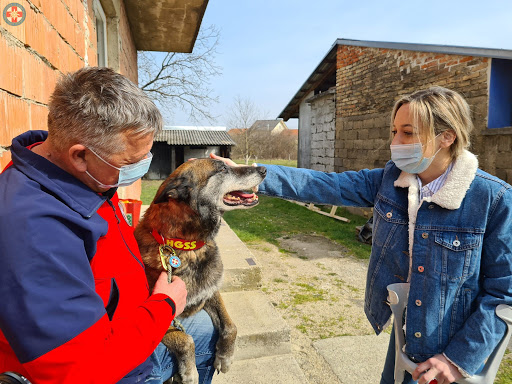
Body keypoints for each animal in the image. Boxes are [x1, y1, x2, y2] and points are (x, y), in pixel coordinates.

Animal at [134, 158, 266, 382]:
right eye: (222, 168)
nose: (264, 169)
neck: (189, 247)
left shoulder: (210, 292)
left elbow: (230, 326)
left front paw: (225, 357)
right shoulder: (159, 321)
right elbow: (186, 339)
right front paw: (189, 372)